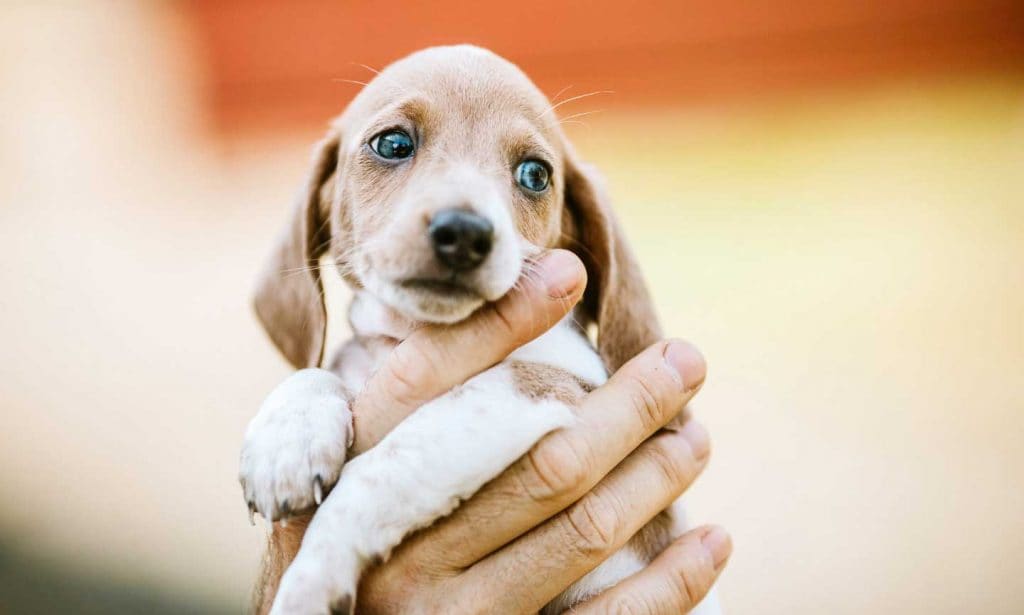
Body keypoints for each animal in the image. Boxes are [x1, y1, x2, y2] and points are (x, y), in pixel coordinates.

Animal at [239, 45, 716, 609]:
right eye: (393, 144)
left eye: (535, 174)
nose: (464, 232)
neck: (414, 334)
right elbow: (314, 374)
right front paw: (285, 442)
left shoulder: (532, 389)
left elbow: (383, 467)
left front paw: (311, 575)